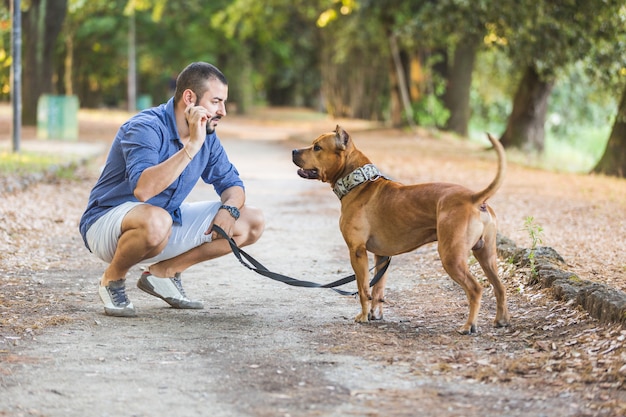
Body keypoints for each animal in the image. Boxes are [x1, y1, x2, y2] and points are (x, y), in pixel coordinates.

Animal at [292, 125, 508, 334]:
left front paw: (363, 316)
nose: (294, 150)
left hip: (452, 257)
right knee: (499, 287)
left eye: (317, 147)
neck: (358, 182)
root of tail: (473, 198)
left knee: (475, 289)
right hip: (486, 255)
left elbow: (363, 288)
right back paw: (501, 320)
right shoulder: (381, 256)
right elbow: (377, 289)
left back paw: (468, 326)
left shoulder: (357, 251)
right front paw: (375, 314)